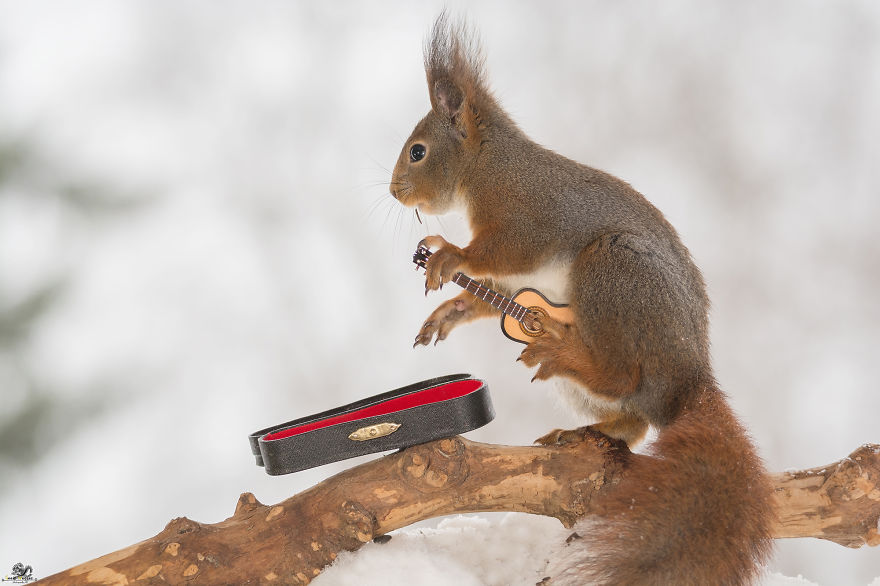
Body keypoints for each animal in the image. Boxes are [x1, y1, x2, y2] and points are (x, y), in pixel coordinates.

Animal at [390, 15, 776, 586]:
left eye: (418, 151)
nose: (395, 192)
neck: (487, 164)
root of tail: (688, 379)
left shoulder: (530, 216)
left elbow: (498, 251)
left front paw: (447, 254)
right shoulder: (519, 284)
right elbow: (495, 296)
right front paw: (451, 310)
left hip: (611, 272)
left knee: (622, 377)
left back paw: (568, 353)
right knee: (634, 420)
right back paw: (584, 431)